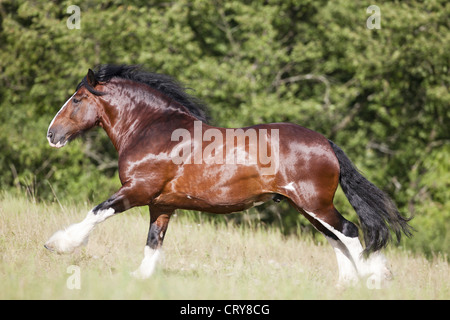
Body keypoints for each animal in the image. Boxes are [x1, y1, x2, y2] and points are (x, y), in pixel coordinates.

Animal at [45, 63, 412, 286]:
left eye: (77, 99)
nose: (52, 134)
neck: (152, 130)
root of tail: (327, 143)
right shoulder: (161, 204)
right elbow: (153, 242)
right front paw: (141, 278)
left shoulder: (138, 190)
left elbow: (96, 211)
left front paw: (58, 244)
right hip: (306, 208)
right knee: (336, 238)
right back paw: (344, 284)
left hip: (315, 204)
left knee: (348, 232)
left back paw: (370, 280)